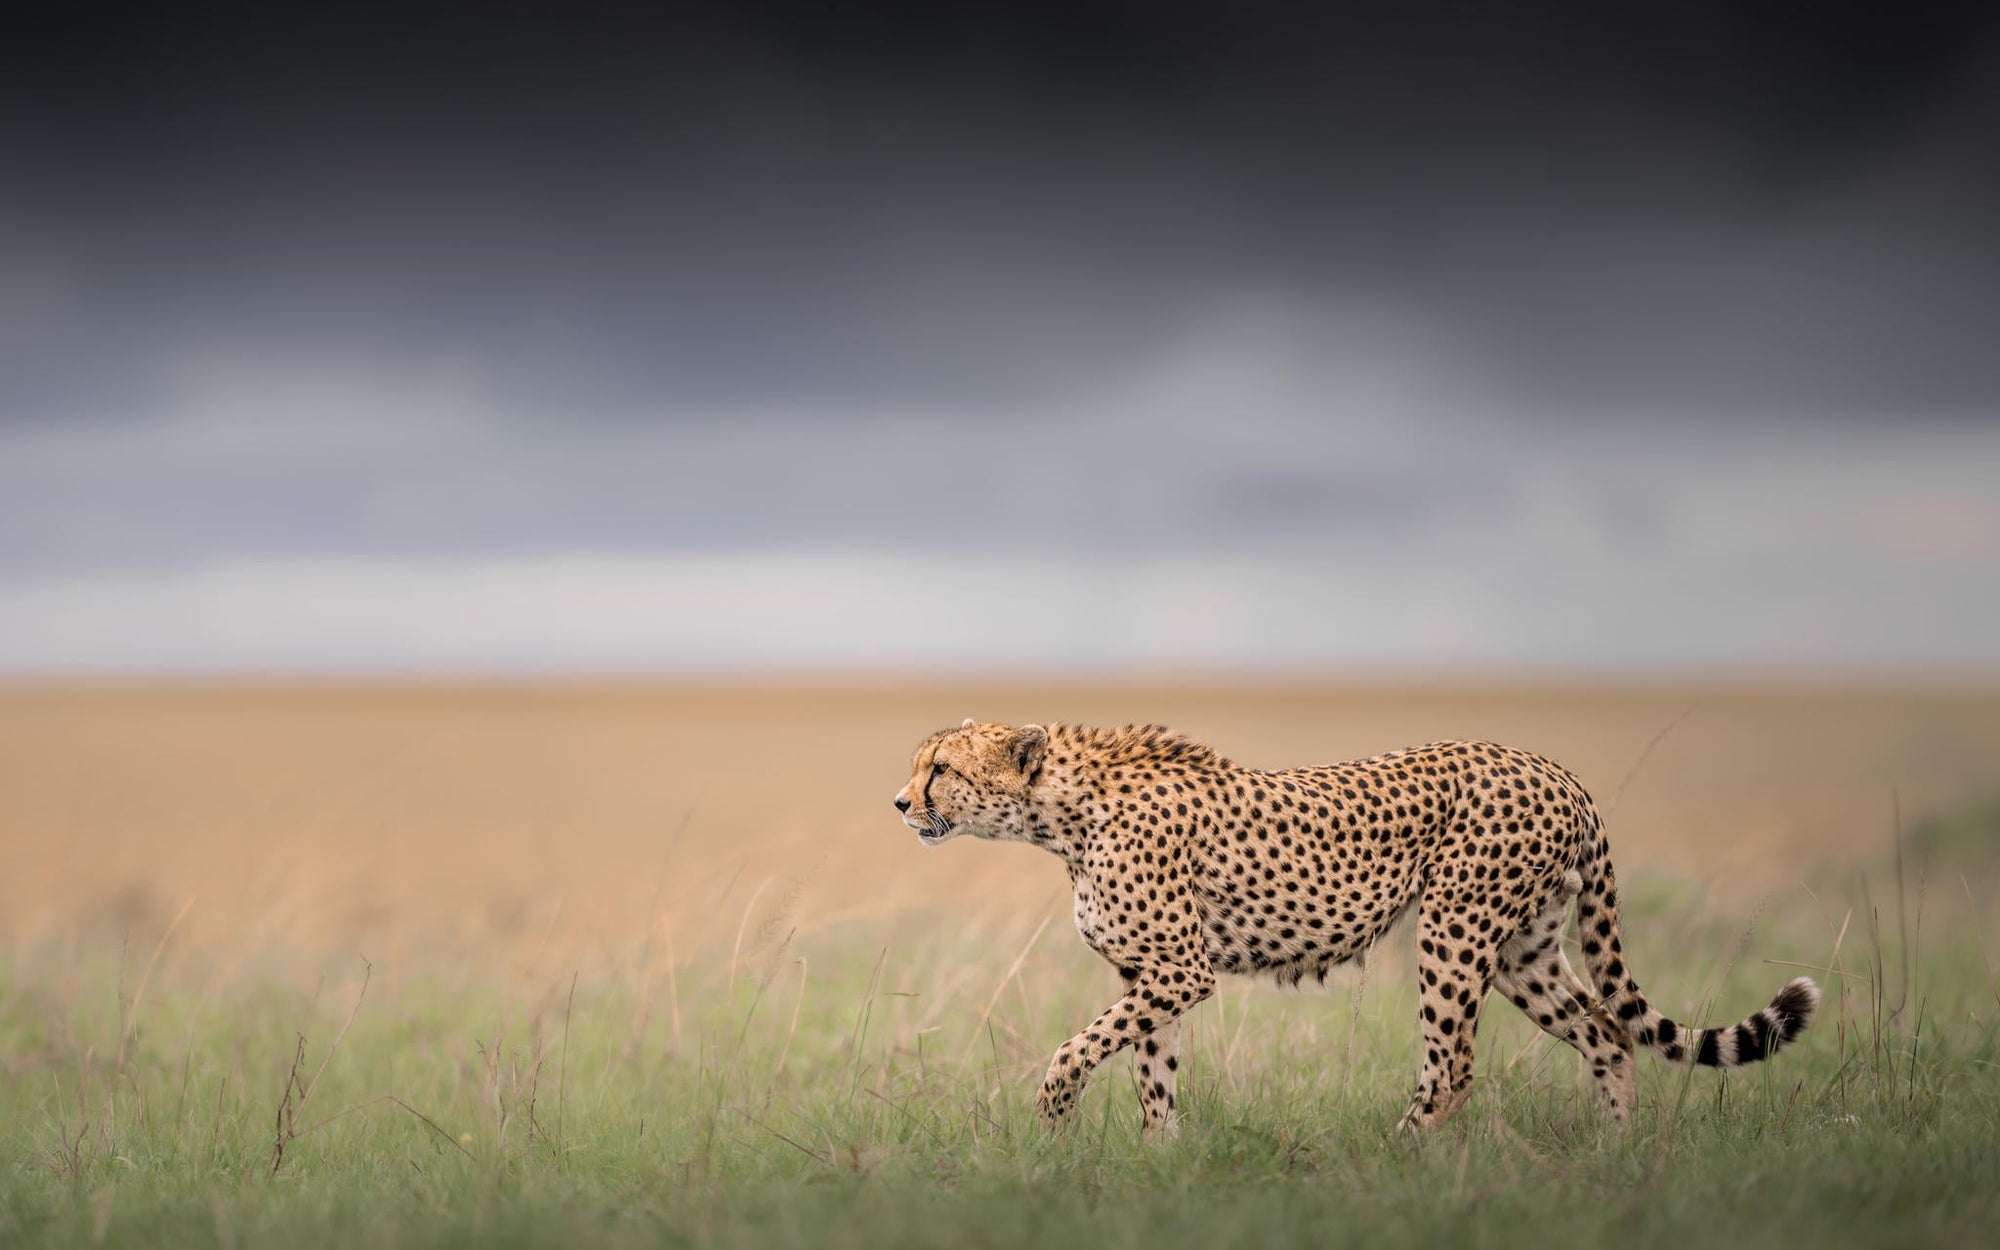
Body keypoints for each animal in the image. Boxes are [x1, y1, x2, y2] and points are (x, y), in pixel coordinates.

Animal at [893, 719, 1819, 1137]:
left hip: (1453, 931)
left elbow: (1075, 1049)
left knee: (1452, 1068)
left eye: (939, 768)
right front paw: (1158, 1162)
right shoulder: (1148, 977)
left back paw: (1399, 1160)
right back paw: (1615, 1152)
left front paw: (1052, 1115)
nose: (900, 803)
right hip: (1524, 951)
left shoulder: (1181, 971)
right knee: (1607, 1032)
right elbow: (1151, 1077)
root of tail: (1553, 768)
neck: (1062, 813)